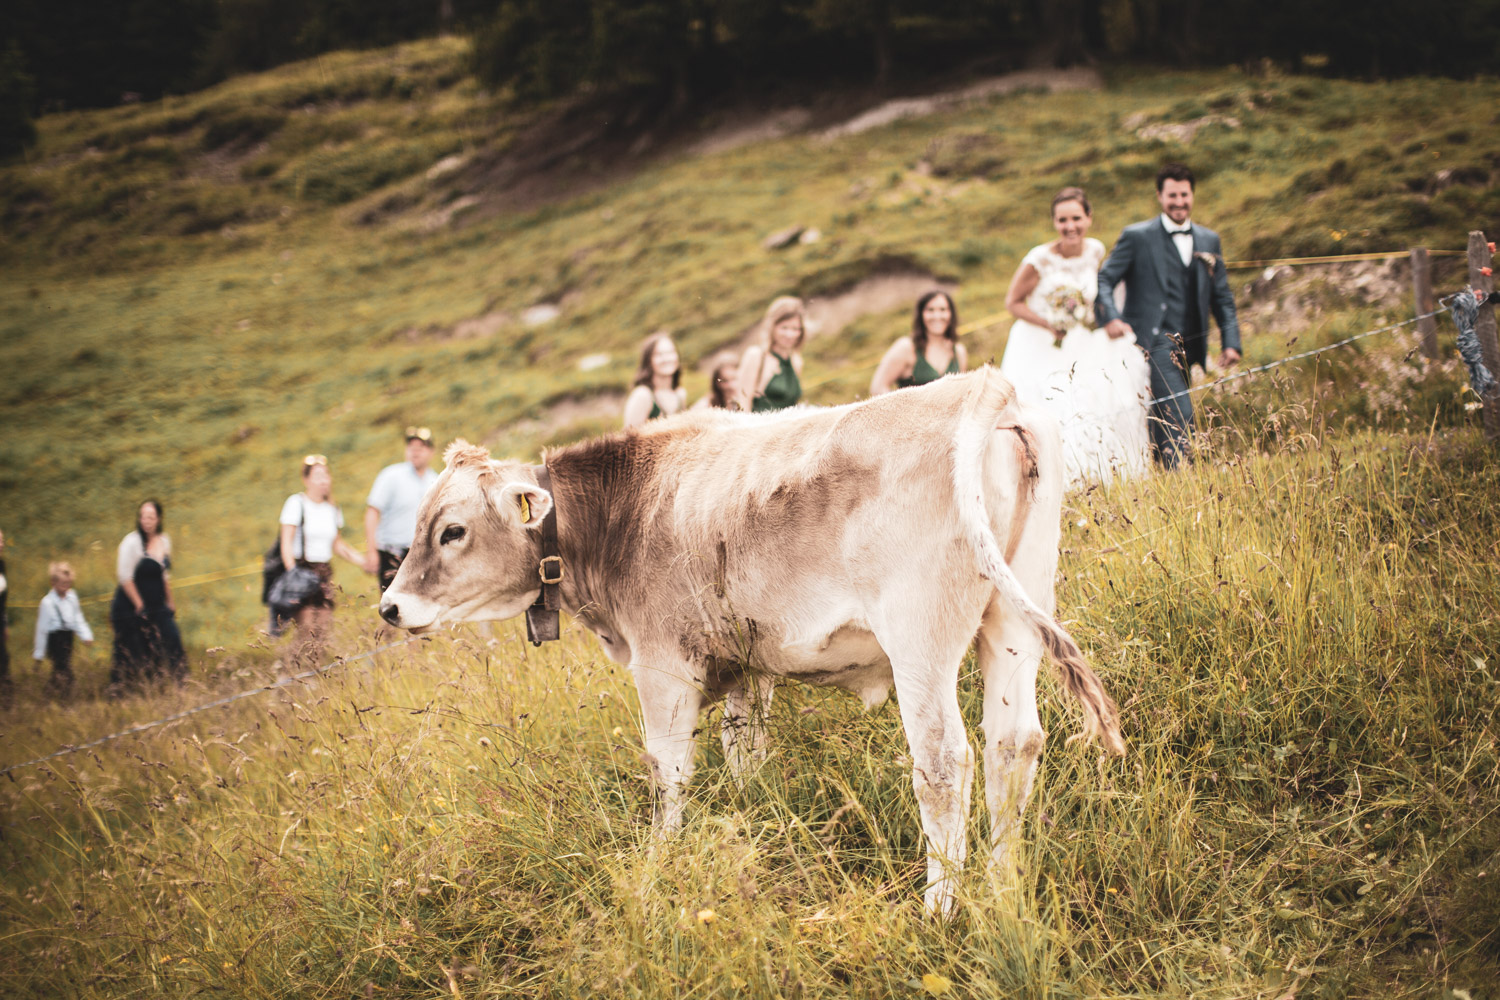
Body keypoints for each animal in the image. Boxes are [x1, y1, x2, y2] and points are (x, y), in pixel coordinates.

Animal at [381, 370, 1122, 917]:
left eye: (451, 530)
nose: (389, 606)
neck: (627, 507)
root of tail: (981, 386)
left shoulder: (663, 664)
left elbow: (669, 772)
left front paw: (659, 864)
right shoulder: (744, 667)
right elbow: (746, 757)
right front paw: (751, 819)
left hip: (922, 637)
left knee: (943, 763)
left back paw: (939, 909)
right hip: (1016, 613)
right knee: (1013, 742)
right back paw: (1001, 886)